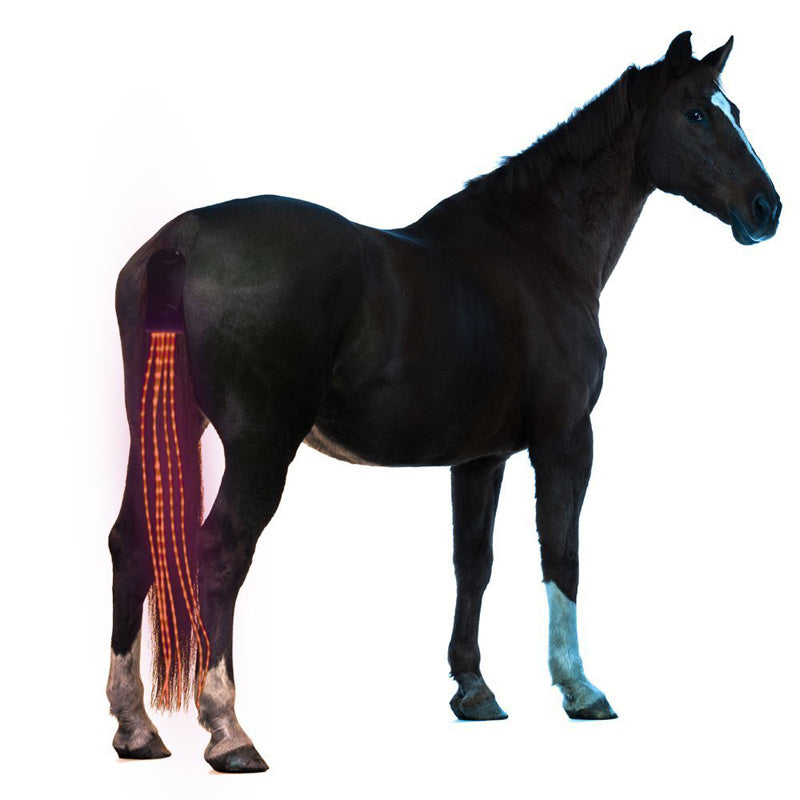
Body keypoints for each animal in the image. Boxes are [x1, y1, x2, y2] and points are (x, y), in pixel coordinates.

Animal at [106, 31, 780, 773]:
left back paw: (136, 727)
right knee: (220, 551)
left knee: (130, 544)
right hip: (261, 444)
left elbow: (473, 563)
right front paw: (580, 689)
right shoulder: (566, 439)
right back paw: (229, 731)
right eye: (696, 113)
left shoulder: (480, 458)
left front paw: (474, 690)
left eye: (735, 109)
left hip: (158, 425)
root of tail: (182, 239)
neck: (538, 249)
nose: (767, 209)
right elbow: (562, 554)